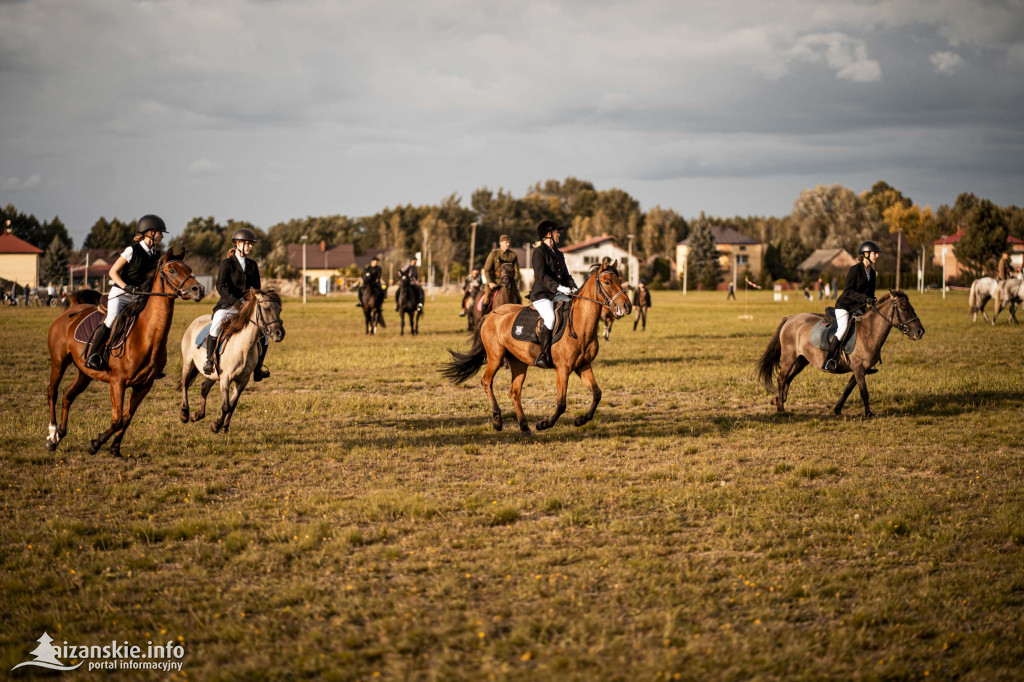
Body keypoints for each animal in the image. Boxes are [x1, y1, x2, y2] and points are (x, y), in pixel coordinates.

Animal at [46, 246, 204, 454]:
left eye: (189, 268)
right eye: (172, 270)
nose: (198, 290)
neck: (145, 335)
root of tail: (70, 312)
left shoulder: (144, 385)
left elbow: (126, 418)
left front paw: (114, 449)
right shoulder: (117, 382)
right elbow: (117, 420)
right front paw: (95, 444)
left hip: (84, 373)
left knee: (67, 395)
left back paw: (60, 434)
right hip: (59, 362)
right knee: (53, 392)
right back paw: (52, 435)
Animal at [178, 286, 284, 430]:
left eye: (279, 310)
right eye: (267, 309)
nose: (280, 333)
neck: (243, 346)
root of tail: (196, 320)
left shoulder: (243, 380)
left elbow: (233, 405)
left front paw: (224, 425)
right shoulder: (225, 379)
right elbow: (226, 406)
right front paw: (216, 425)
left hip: (213, 374)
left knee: (204, 387)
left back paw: (198, 415)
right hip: (188, 362)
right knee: (185, 383)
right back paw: (184, 413)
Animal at [442, 258, 630, 432]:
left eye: (620, 280)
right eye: (607, 282)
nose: (627, 306)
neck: (579, 325)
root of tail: (491, 315)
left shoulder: (583, 366)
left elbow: (597, 394)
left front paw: (581, 420)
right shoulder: (563, 369)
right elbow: (561, 403)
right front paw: (544, 424)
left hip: (518, 362)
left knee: (514, 392)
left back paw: (525, 427)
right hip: (495, 357)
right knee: (487, 382)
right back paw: (497, 420)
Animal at [753, 288, 929, 417]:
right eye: (904, 308)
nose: (920, 332)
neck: (869, 331)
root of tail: (790, 318)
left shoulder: (860, 369)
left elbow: (848, 389)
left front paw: (837, 409)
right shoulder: (858, 368)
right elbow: (864, 391)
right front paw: (869, 414)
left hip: (802, 360)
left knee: (788, 379)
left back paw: (778, 400)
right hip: (789, 357)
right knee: (782, 378)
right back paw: (780, 408)